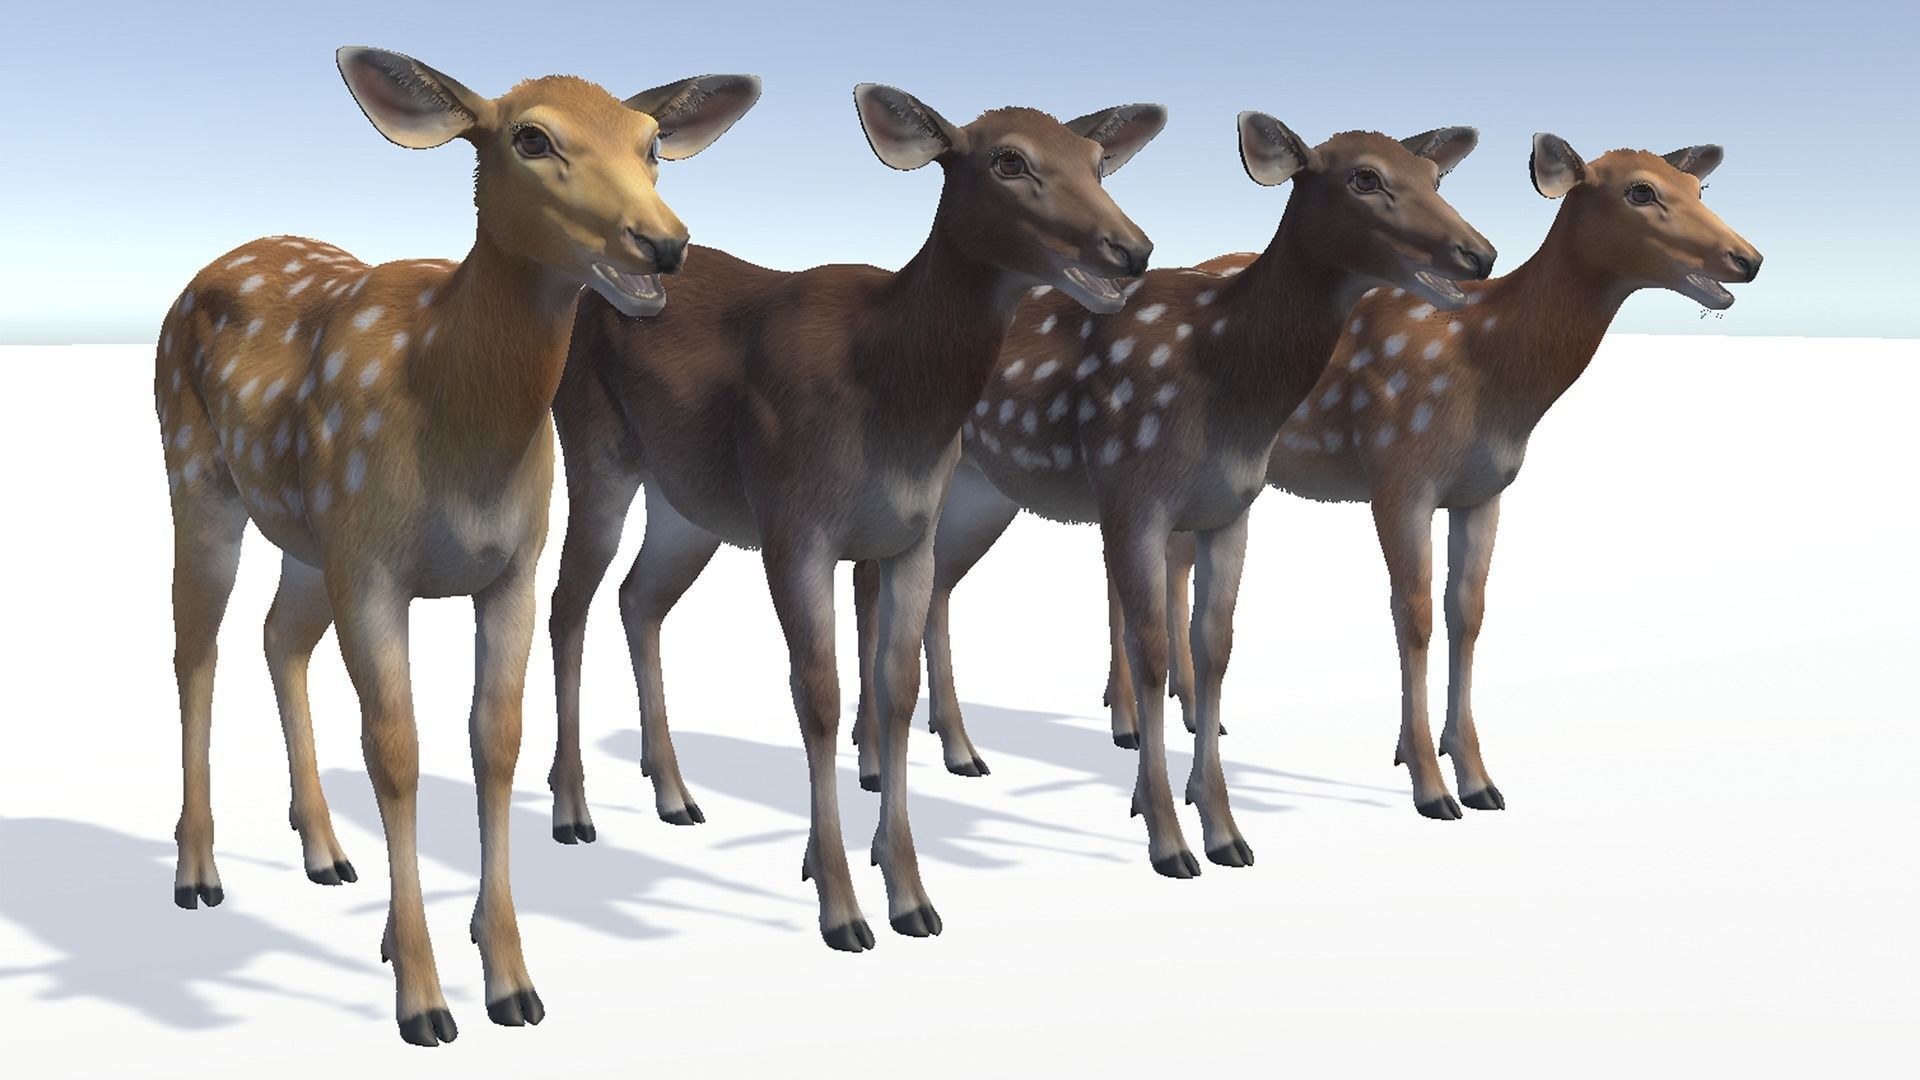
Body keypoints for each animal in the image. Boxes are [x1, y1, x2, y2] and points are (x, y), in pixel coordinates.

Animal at [153, 46, 760, 1045]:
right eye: (531, 137)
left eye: (651, 142)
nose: (663, 243)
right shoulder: (373, 569)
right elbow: (395, 751)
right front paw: (424, 998)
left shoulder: (512, 565)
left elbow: (494, 739)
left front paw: (510, 977)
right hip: (198, 475)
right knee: (194, 648)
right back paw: (198, 873)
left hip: (309, 534)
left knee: (278, 637)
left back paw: (324, 852)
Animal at [542, 84, 1164, 950]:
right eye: (1008, 159)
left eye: (1100, 160)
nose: (1131, 249)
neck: (890, 392)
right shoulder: (794, 528)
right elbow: (820, 693)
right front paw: (839, 905)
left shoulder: (910, 537)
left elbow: (894, 689)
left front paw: (912, 897)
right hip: (595, 449)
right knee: (569, 601)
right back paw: (573, 812)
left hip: (688, 503)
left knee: (639, 597)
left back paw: (674, 794)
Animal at [855, 115, 1496, 875]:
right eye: (1365, 177)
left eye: (1434, 176)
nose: (1480, 254)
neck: (1220, 371)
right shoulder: (1134, 492)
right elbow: (1153, 649)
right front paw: (1167, 836)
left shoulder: (1229, 509)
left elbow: (1214, 645)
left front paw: (1224, 830)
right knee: (875, 579)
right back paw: (873, 763)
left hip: (985, 491)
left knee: (930, 588)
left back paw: (959, 751)